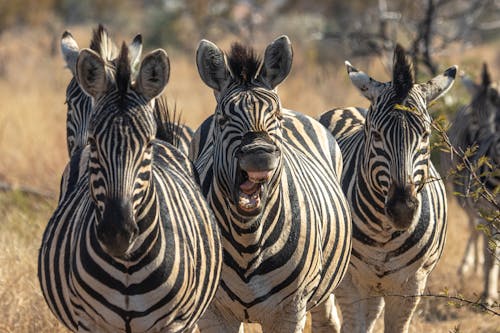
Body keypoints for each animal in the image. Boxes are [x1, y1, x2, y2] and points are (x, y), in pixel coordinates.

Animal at [37, 40, 221, 330]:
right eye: (94, 143)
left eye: (147, 144)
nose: (117, 233)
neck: (128, 264)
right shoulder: (89, 322)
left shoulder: (175, 323)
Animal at [190, 35, 352, 330]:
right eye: (222, 119)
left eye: (276, 118)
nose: (259, 155)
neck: (247, 238)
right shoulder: (213, 311)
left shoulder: (291, 308)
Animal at [318, 43, 456, 330]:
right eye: (376, 134)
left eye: (425, 134)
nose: (403, 209)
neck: (384, 233)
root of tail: (348, 107)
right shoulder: (349, 283)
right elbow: (352, 327)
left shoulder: (412, 283)